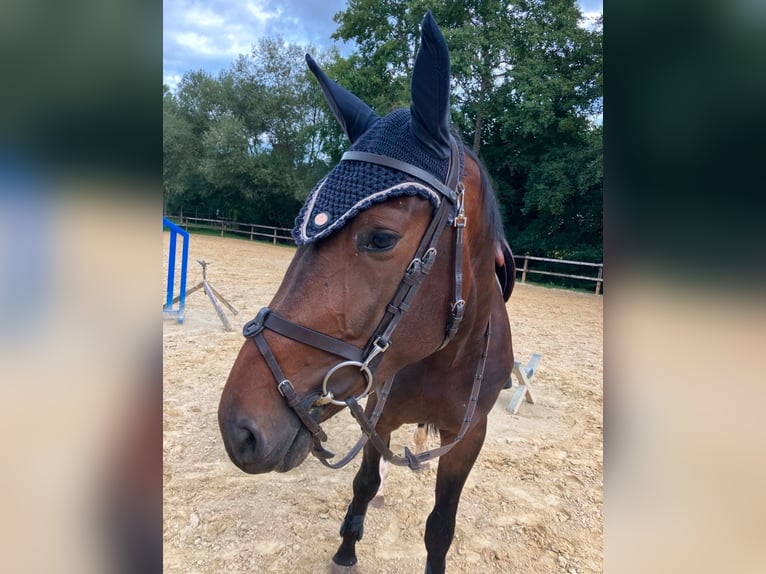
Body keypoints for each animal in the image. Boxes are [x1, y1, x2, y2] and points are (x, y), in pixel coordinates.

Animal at [219, 11, 520, 572]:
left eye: (380, 238)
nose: (239, 429)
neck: (444, 355)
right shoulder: (379, 411)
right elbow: (365, 482)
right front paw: (345, 548)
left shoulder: (469, 438)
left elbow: (441, 526)